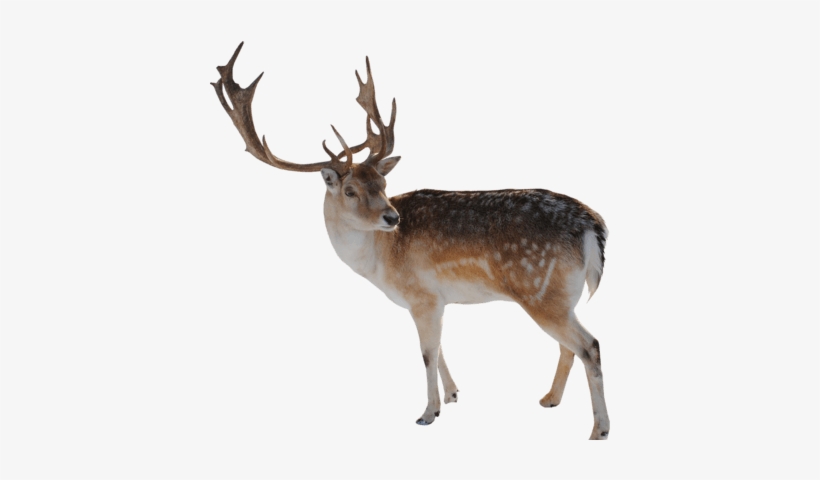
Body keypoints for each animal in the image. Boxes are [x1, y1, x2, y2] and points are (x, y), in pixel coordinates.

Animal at [212, 43, 610, 440]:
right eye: (351, 189)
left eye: (383, 184)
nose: (392, 217)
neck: (379, 263)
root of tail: (593, 225)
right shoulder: (435, 300)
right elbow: (440, 348)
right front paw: (452, 395)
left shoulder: (422, 295)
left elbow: (426, 353)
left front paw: (428, 413)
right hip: (559, 296)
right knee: (569, 346)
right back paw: (549, 399)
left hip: (540, 290)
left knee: (589, 345)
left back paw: (599, 429)